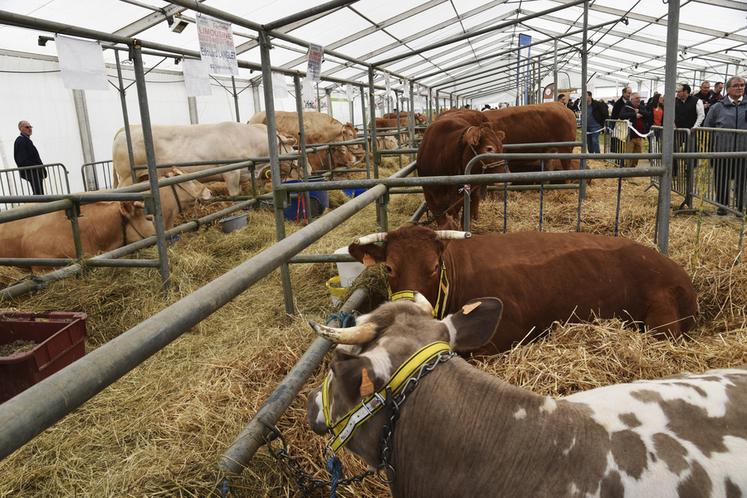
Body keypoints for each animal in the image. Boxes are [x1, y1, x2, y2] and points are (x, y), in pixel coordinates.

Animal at [112, 121, 296, 196]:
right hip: (127, 177)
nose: (301, 166)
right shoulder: (231, 174)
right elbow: (234, 194)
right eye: (292, 148)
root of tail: (125, 129)